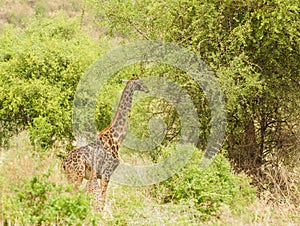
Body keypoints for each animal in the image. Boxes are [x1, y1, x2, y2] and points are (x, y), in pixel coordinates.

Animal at [61, 77, 149, 211]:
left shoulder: (99, 175)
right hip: (77, 176)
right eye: (140, 82)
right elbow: (102, 199)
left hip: (70, 177)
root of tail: (64, 163)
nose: (147, 89)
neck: (117, 137)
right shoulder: (107, 173)